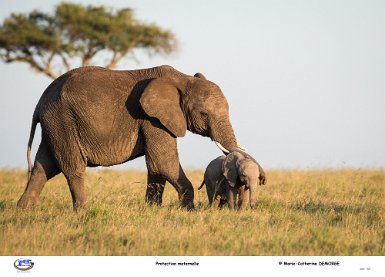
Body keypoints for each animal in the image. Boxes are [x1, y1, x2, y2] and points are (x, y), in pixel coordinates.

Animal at [17, 66, 246, 210]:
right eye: (204, 114)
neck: (183, 78)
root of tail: (40, 102)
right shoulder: (152, 118)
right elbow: (163, 162)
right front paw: (189, 211)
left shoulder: (155, 119)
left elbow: (156, 167)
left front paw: (152, 211)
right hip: (63, 122)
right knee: (72, 168)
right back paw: (82, 212)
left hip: (55, 125)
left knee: (42, 168)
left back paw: (23, 211)